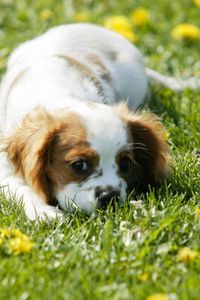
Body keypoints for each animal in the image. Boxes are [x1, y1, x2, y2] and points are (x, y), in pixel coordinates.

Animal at [0, 24, 200, 220]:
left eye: (125, 163)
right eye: (79, 165)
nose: (110, 197)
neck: (60, 92)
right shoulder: (5, 167)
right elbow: (21, 188)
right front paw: (44, 212)